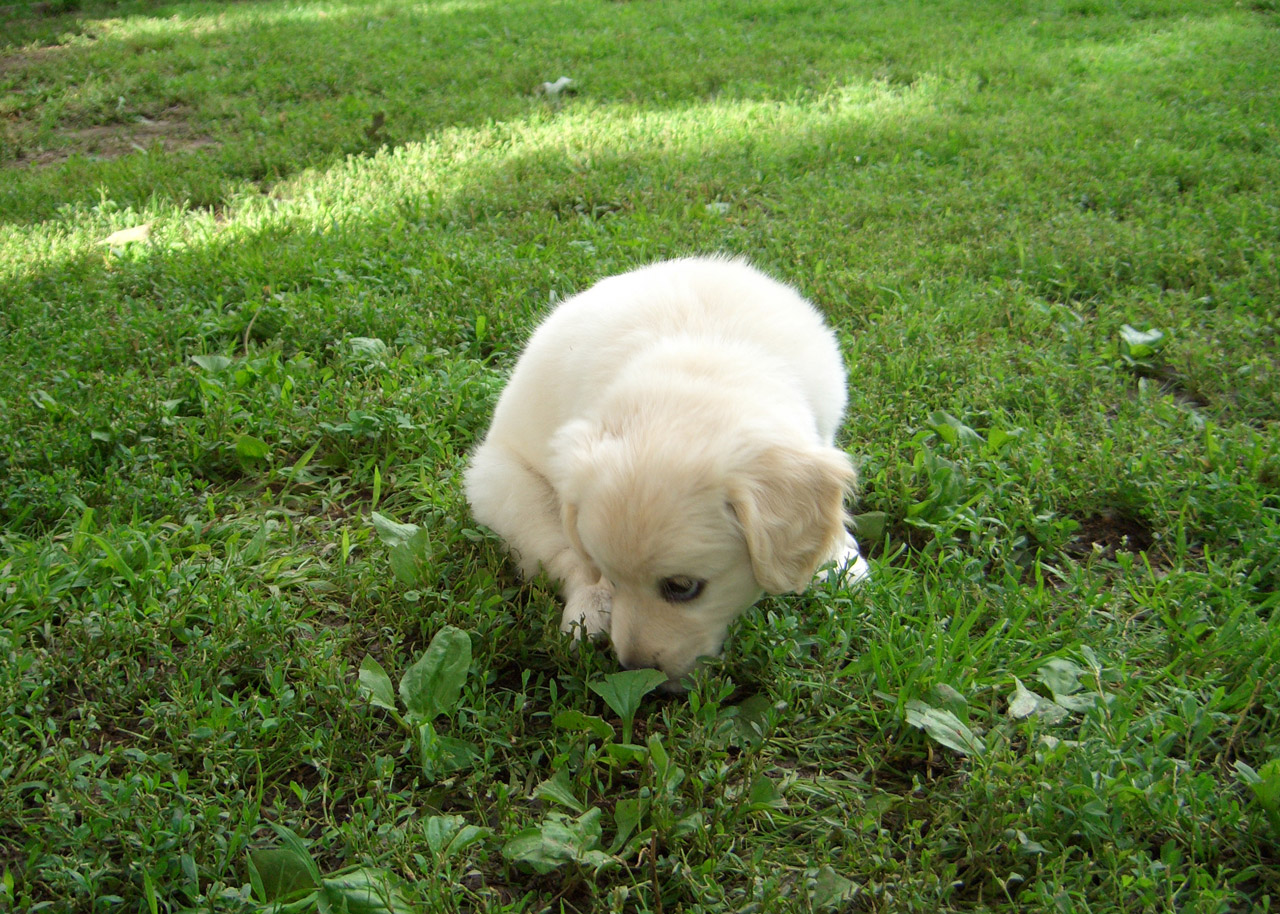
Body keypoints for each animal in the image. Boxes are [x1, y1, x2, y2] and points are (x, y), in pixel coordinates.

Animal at [465, 256, 875, 686]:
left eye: (682, 587)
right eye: (613, 575)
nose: (637, 670)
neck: (703, 363)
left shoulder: (821, 428)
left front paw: (840, 561)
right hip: (503, 486)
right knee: (563, 557)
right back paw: (588, 611)